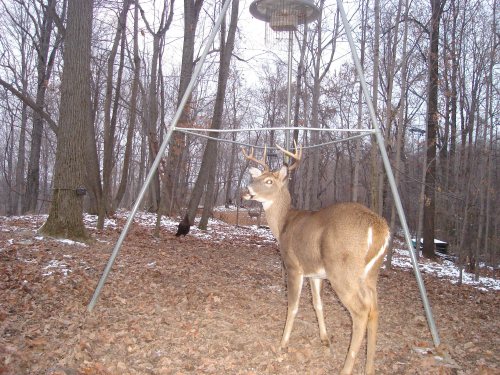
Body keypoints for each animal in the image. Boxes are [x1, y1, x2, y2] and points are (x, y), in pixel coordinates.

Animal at [241, 145, 390, 375]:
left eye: (269, 181)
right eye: (257, 177)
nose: (247, 190)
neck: (282, 224)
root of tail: (380, 229)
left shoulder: (294, 266)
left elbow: (292, 306)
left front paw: (282, 344)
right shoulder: (316, 273)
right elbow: (317, 304)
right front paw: (325, 340)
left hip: (342, 273)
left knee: (361, 312)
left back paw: (346, 369)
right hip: (370, 275)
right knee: (374, 310)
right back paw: (369, 367)